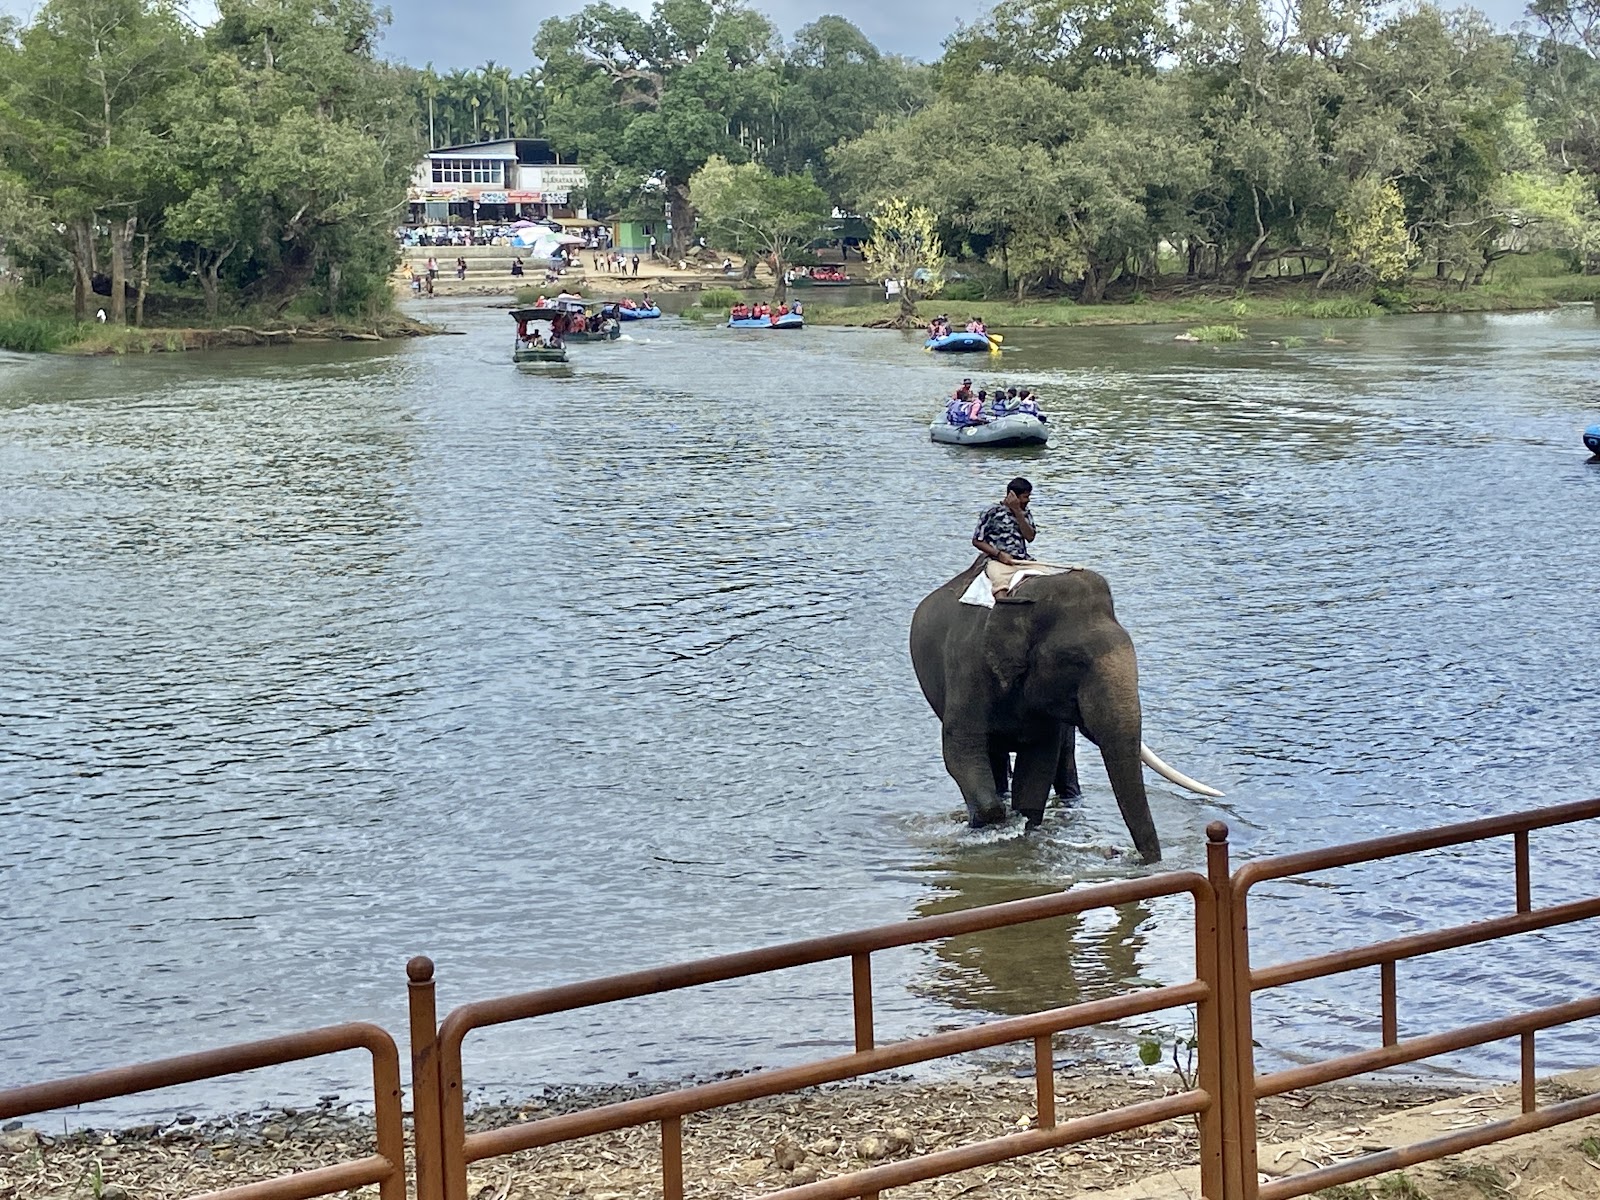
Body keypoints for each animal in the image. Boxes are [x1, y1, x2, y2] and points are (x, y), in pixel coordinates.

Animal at [910, 558, 1223, 864]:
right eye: (1074, 661)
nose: (1124, 854)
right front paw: (986, 826)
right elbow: (960, 750)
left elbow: (1040, 759)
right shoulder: (967, 668)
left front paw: (1022, 825)